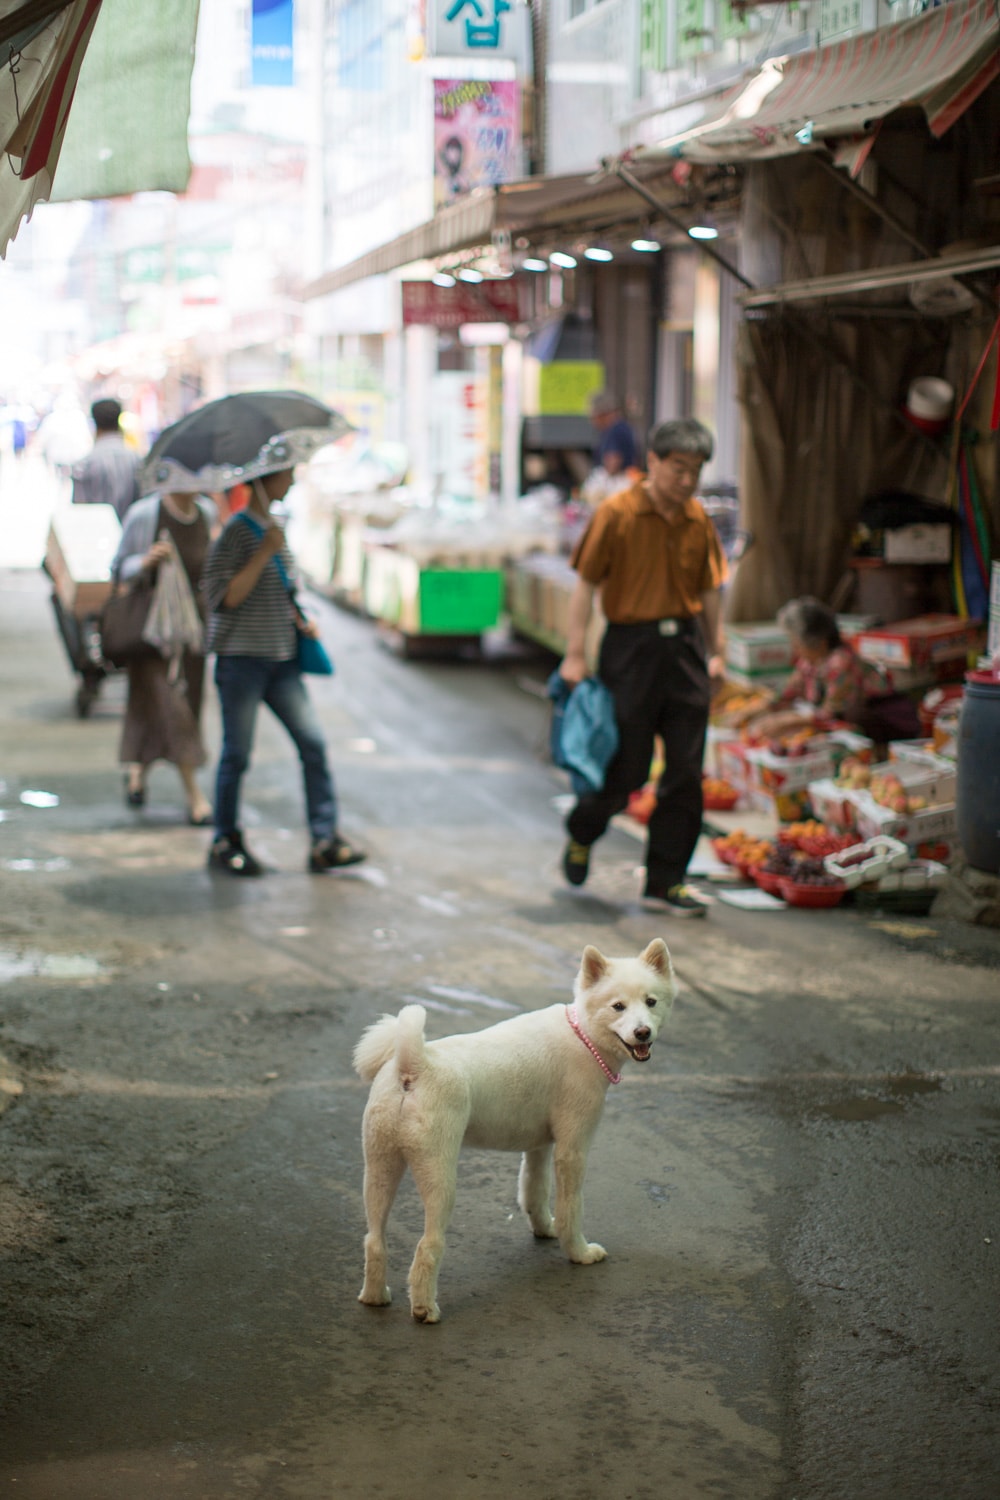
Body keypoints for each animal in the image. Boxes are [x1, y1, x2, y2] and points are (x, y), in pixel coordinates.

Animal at [352, 936, 671, 1326]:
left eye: (651, 1002)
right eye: (618, 1006)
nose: (643, 1032)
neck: (583, 1036)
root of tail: (412, 1067)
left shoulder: (538, 1147)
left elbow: (534, 1193)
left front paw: (546, 1229)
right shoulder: (573, 1150)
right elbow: (571, 1207)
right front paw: (579, 1252)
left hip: (379, 1170)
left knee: (374, 1240)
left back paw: (375, 1296)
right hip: (439, 1179)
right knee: (428, 1246)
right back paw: (425, 1308)